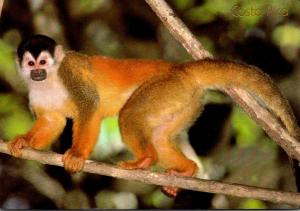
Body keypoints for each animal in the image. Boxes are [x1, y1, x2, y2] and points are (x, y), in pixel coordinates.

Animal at [8, 34, 298, 198]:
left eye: (43, 62)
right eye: (31, 64)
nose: (36, 73)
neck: (51, 79)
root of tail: (181, 69)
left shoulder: (70, 69)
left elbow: (89, 105)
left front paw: (77, 154)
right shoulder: (36, 93)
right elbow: (52, 121)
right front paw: (24, 141)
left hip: (163, 88)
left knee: (129, 114)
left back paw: (145, 159)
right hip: (184, 101)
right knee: (158, 136)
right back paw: (186, 169)